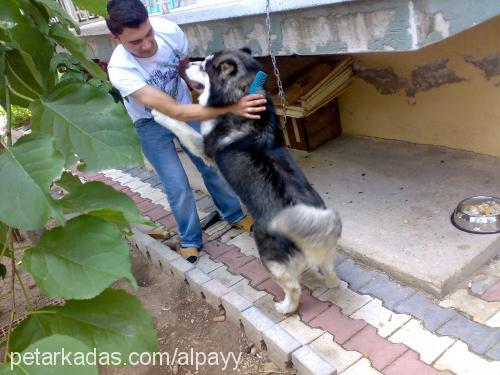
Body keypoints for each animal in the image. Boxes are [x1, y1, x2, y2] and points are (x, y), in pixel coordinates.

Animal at [150, 49, 342, 314]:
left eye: (204, 66)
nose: (185, 63)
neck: (242, 95)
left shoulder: (204, 147)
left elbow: (181, 125)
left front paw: (159, 113)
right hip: (326, 253)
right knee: (331, 271)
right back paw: (330, 282)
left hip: (269, 256)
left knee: (293, 287)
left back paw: (285, 307)